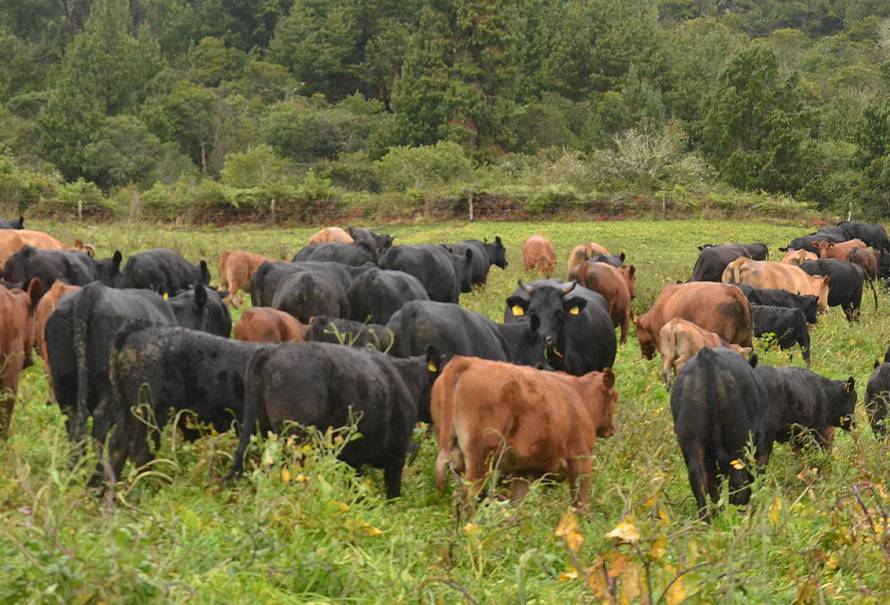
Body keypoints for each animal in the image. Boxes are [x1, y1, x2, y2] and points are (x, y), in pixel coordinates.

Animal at [227, 342, 438, 498]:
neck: (407, 380)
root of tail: (271, 351)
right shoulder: (396, 455)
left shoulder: (354, 459)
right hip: (294, 438)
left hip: (254, 426)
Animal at [432, 356, 616, 512]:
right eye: (615, 398)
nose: (611, 430)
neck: (579, 396)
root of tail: (467, 361)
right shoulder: (581, 460)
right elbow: (581, 502)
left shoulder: (523, 470)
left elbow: (517, 505)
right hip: (480, 459)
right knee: (468, 496)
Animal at [664, 350, 772, 520]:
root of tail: (707, 355)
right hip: (737, 441)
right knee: (737, 482)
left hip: (691, 441)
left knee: (700, 481)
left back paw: (708, 520)